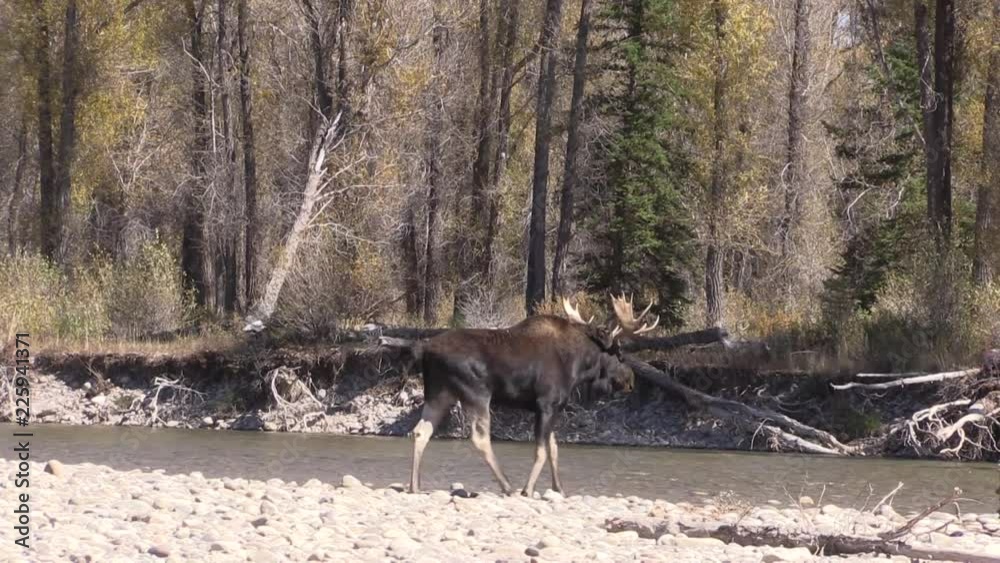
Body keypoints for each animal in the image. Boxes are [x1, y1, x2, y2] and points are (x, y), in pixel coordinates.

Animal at [379, 294, 659, 497]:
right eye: (619, 354)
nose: (631, 381)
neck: (579, 365)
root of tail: (424, 349)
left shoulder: (550, 408)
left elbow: (553, 448)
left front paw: (559, 489)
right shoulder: (546, 404)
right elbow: (542, 450)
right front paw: (529, 489)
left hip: (439, 394)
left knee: (420, 431)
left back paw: (415, 485)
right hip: (476, 394)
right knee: (480, 438)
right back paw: (508, 486)